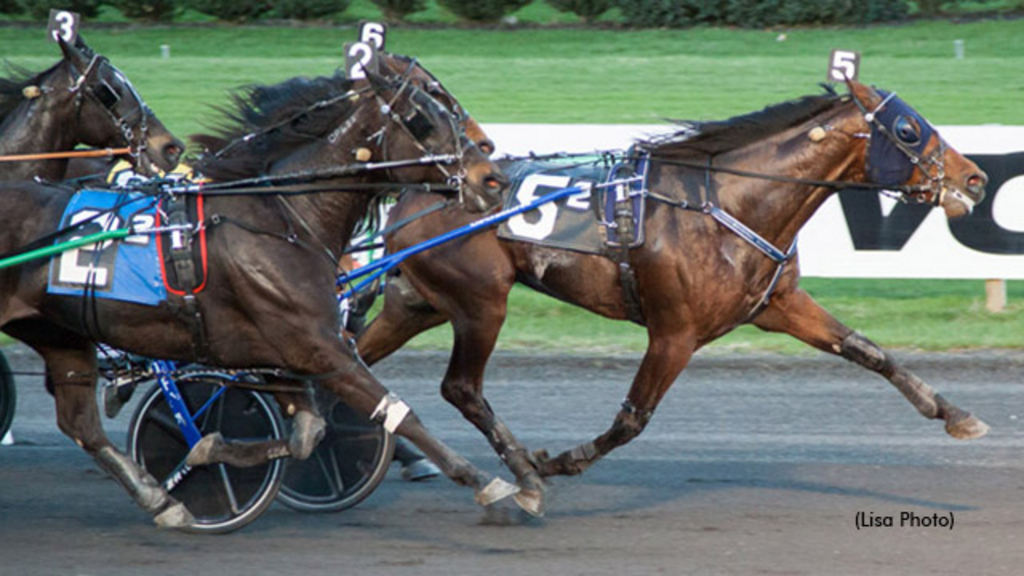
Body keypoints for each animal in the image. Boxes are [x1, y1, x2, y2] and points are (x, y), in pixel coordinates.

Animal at [0, 61, 512, 524]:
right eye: (423, 115)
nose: (492, 176)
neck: (281, 217)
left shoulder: (280, 353)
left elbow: (309, 433)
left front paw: (211, 449)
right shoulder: (316, 346)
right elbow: (399, 414)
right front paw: (497, 486)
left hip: (58, 334)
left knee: (80, 424)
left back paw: (160, 500)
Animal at [358, 78, 991, 512]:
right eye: (908, 130)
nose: (976, 178)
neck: (727, 204)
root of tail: (419, 191)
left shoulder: (778, 305)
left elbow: (868, 350)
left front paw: (956, 414)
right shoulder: (675, 333)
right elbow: (631, 421)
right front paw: (556, 461)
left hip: (417, 302)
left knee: (355, 362)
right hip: (481, 302)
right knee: (460, 387)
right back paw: (523, 477)